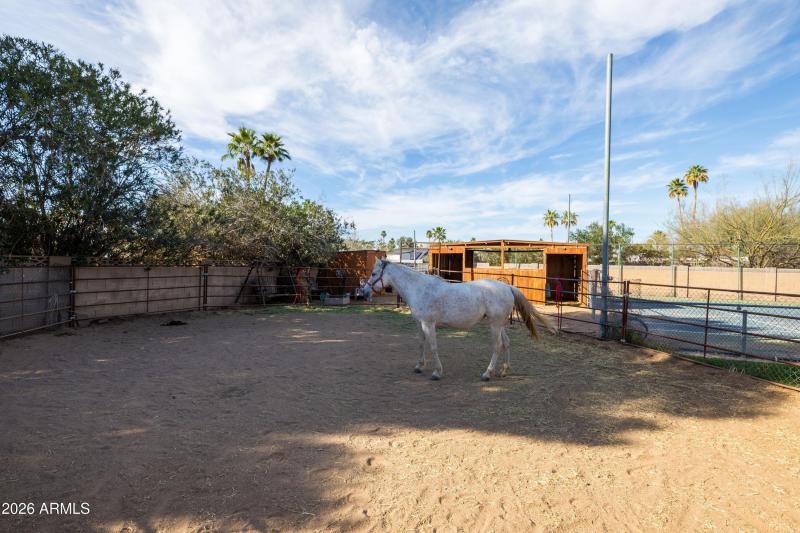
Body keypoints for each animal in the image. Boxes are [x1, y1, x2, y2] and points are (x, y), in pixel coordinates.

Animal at [367, 258, 555, 381]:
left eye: (374, 273)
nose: (364, 291)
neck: (420, 288)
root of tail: (507, 286)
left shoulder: (428, 324)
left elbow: (433, 347)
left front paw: (437, 372)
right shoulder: (419, 323)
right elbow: (421, 343)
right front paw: (419, 366)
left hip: (495, 325)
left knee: (497, 346)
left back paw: (487, 374)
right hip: (500, 324)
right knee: (507, 343)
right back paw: (504, 371)